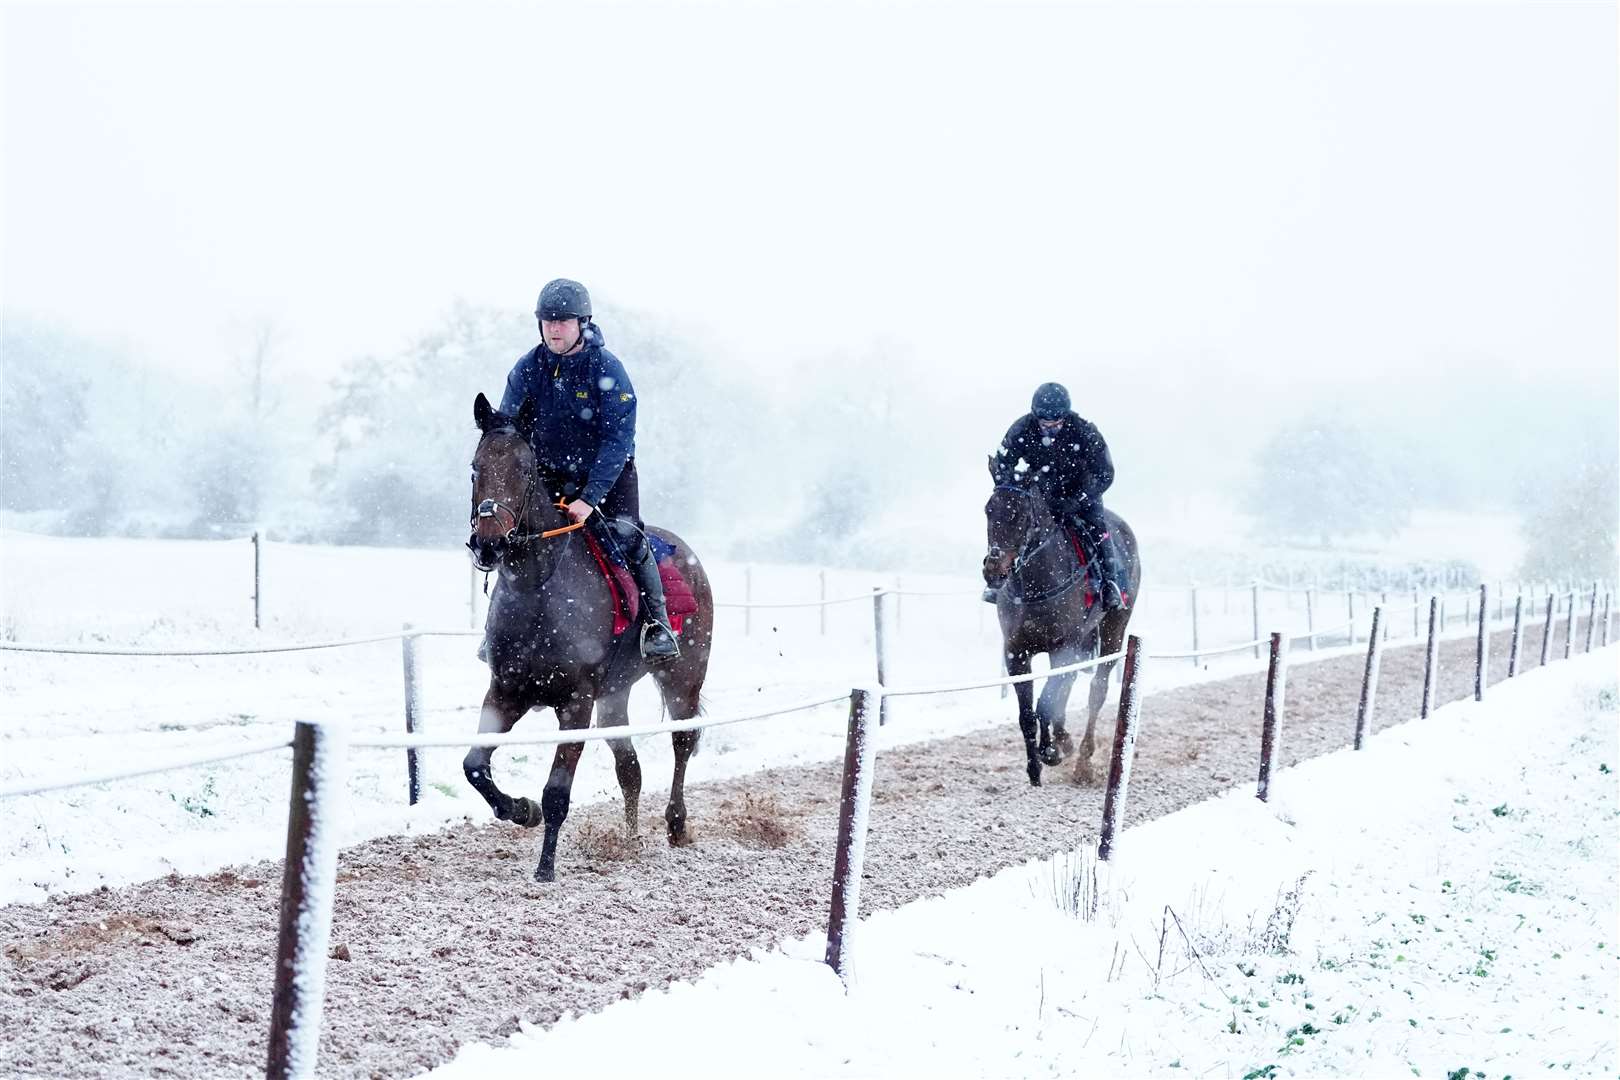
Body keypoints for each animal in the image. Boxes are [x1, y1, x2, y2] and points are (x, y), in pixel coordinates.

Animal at [456, 393, 709, 880]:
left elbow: (557, 791)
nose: (489, 544)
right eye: (476, 468)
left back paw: (675, 823)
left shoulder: (576, 701)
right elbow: (474, 766)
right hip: (614, 698)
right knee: (629, 766)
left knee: (682, 743)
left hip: (683, 677)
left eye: (524, 471)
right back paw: (630, 839)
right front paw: (521, 809)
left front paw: (545, 867)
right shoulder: (505, 691)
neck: (538, 588)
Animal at [978, 459, 1146, 790]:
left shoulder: (1063, 647)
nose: (993, 569)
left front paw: (1052, 751)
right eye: (989, 509)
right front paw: (1035, 767)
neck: (1036, 587)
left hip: (1114, 629)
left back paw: (1082, 758)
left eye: (1020, 514)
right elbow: (1028, 712)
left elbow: (1046, 701)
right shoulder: (1016, 653)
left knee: (1096, 689)